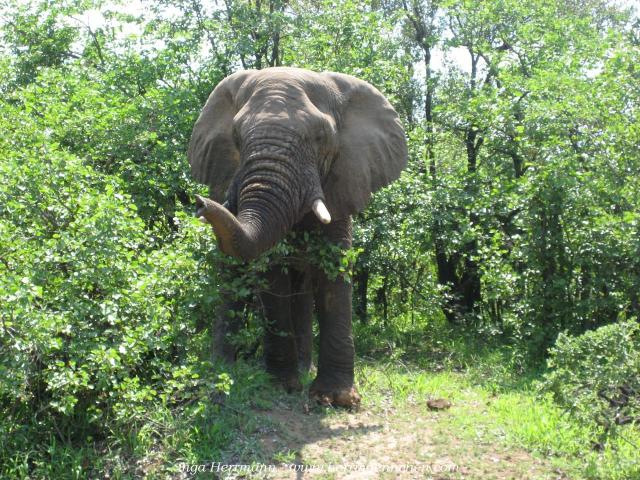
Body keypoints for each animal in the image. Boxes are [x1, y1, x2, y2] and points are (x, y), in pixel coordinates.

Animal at [188, 65, 404, 406]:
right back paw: (223, 369)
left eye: (320, 137)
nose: (199, 203)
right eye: (236, 137)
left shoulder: (343, 179)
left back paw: (304, 368)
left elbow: (334, 269)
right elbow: (272, 273)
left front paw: (336, 399)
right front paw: (281, 386)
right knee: (232, 276)